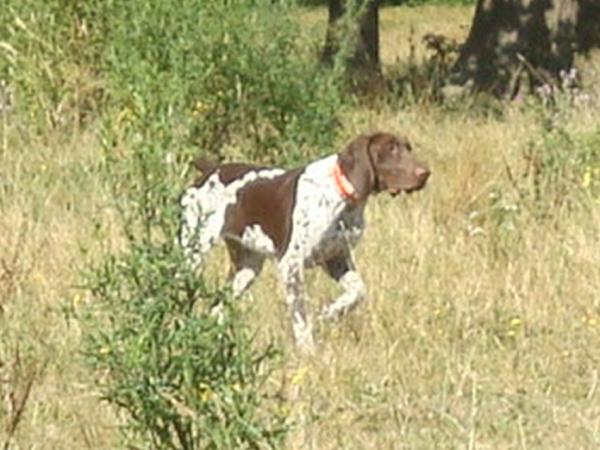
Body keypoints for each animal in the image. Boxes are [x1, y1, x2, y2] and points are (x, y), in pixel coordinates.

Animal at [179, 132, 432, 350]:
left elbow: (357, 292)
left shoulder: (337, 258)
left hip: (246, 269)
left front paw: (329, 313)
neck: (341, 196)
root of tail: (210, 170)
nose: (425, 173)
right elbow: (301, 317)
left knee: (217, 307)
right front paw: (308, 351)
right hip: (192, 254)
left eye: (408, 147)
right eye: (390, 148)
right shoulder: (291, 265)